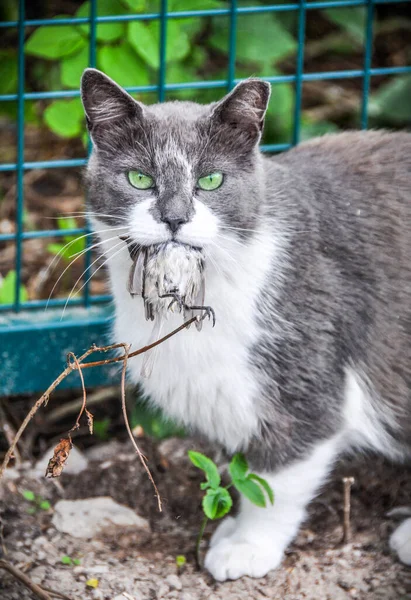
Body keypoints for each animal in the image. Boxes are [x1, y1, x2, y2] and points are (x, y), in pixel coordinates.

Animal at [79, 69, 411, 580]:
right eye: (140, 178)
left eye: (211, 180)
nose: (174, 216)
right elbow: (242, 469)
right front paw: (233, 530)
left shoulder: (307, 381)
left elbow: (275, 479)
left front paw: (248, 546)